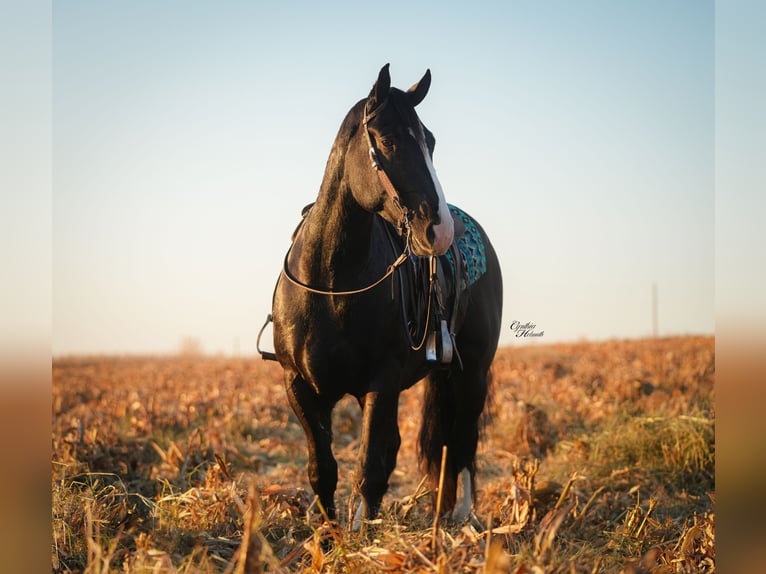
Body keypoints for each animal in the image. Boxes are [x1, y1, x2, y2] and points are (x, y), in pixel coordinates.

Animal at [267, 64, 502, 527]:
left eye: (431, 141)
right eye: (390, 140)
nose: (439, 230)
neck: (332, 286)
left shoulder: (383, 382)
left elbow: (371, 466)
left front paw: (362, 533)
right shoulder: (299, 386)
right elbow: (323, 469)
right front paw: (330, 534)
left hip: (473, 373)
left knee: (462, 442)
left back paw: (460, 517)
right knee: (443, 445)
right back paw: (441, 514)